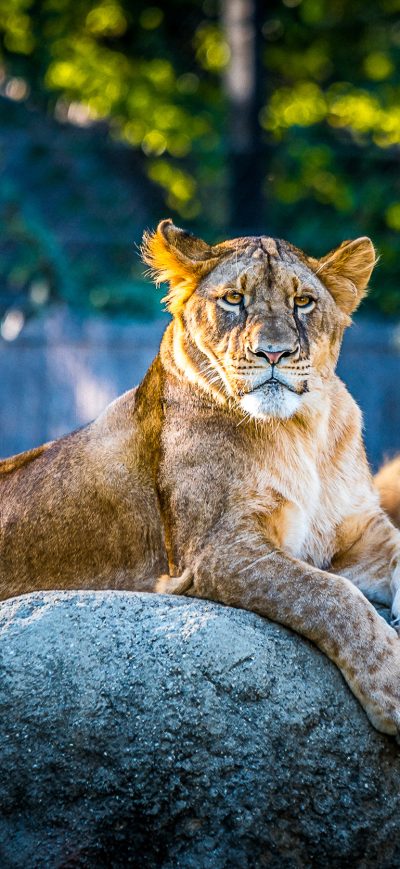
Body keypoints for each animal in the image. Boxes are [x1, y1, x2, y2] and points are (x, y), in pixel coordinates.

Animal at [2, 219, 400, 736]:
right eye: (233, 299)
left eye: (303, 302)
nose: (274, 353)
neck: (301, 430)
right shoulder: (218, 550)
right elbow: (331, 596)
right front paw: (392, 687)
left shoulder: (358, 533)